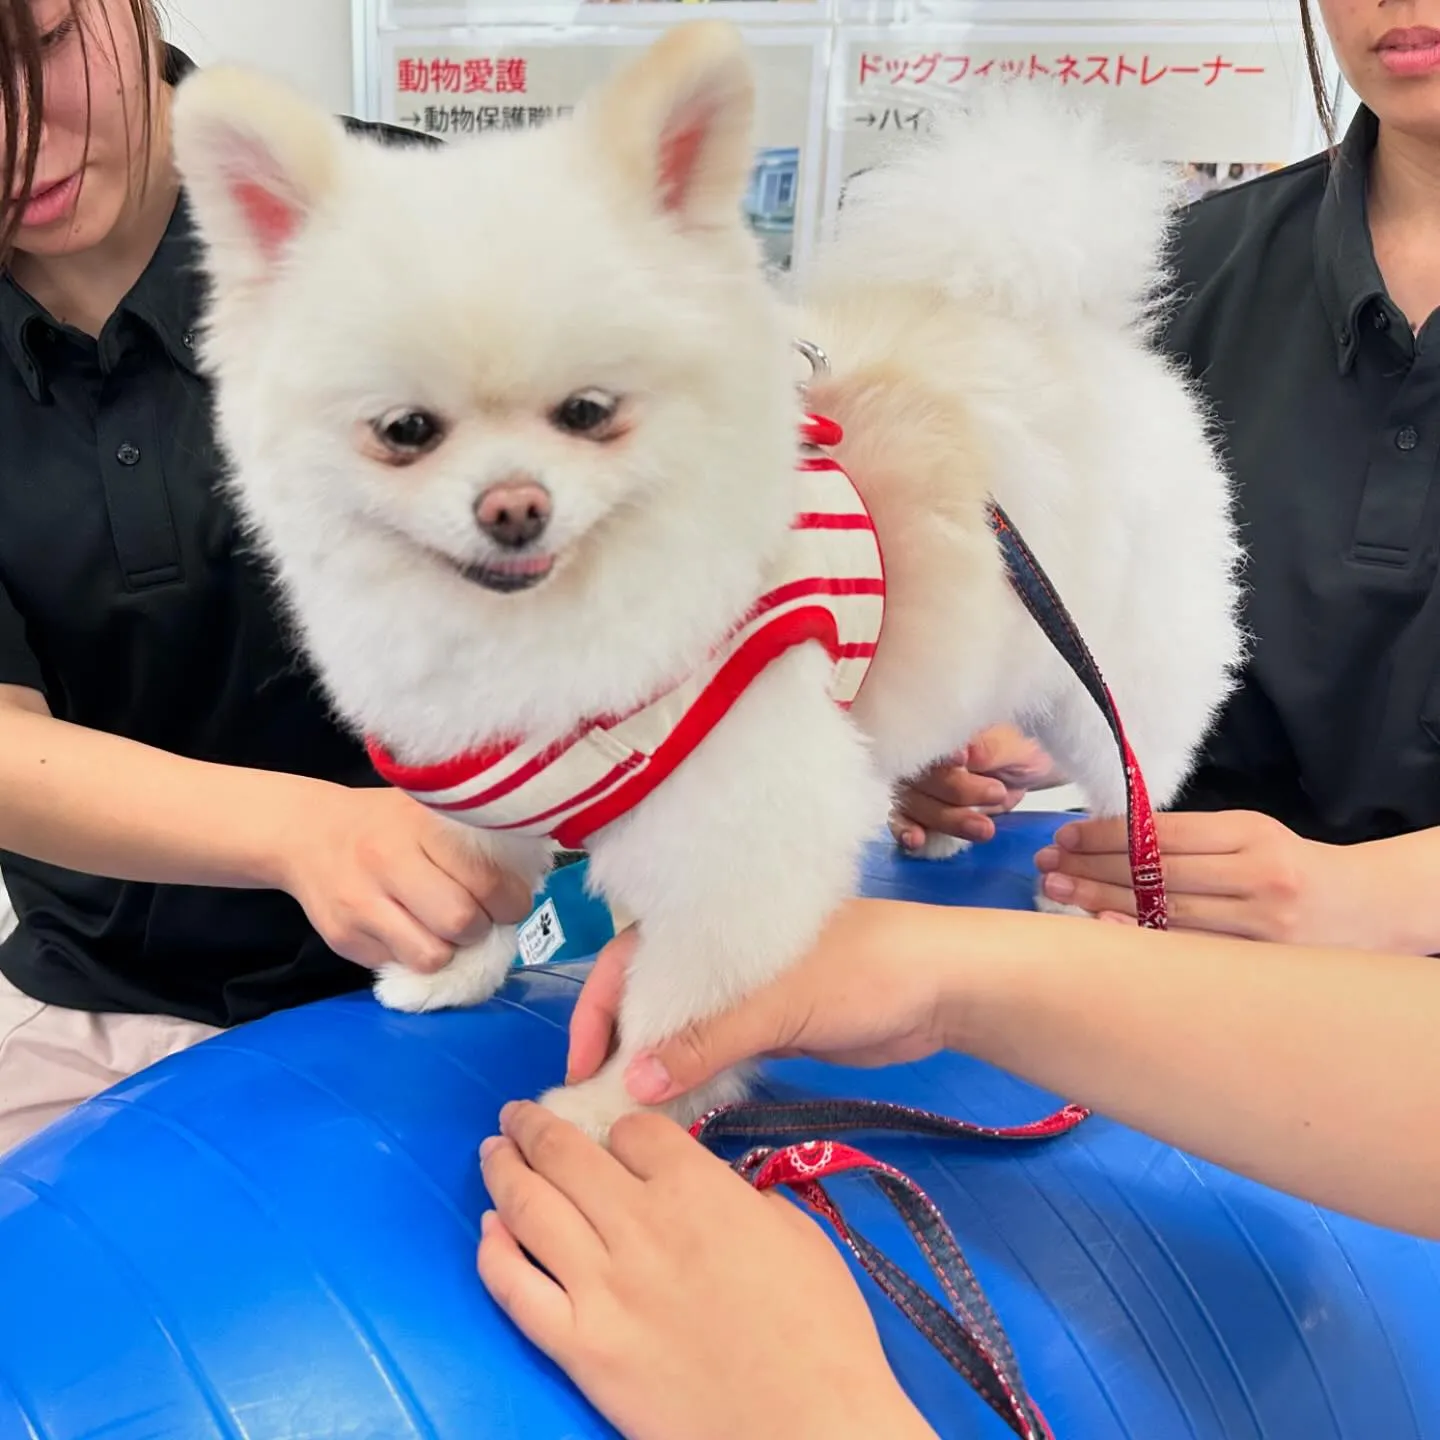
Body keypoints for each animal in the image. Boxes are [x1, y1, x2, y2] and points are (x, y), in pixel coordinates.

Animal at [174, 14, 1238, 1134]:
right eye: (406, 432)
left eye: (590, 413)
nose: (513, 507)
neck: (549, 631)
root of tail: (1063, 324)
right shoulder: (484, 769)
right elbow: (481, 876)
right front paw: (455, 968)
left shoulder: (744, 839)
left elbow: (678, 1010)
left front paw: (610, 1113)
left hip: (1110, 680)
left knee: (1132, 777)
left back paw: (1113, 891)